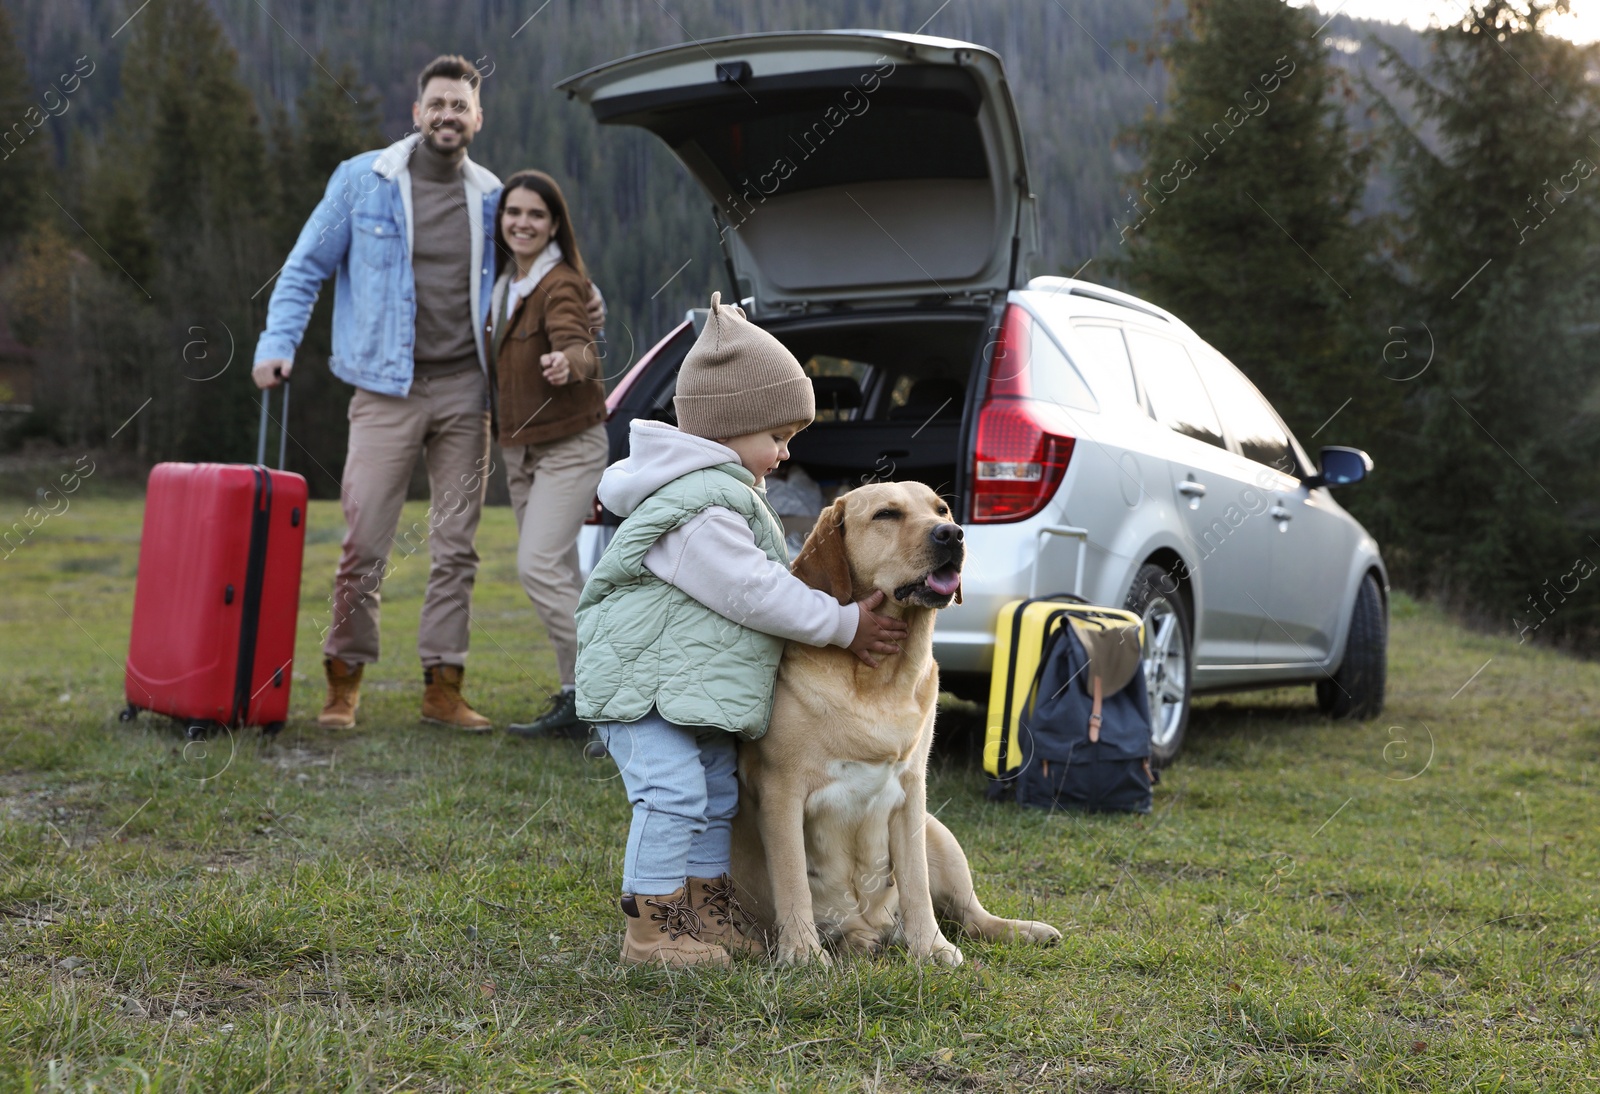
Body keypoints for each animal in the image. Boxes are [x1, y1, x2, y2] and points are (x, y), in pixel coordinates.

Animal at [729, 483, 1062, 959]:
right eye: (886, 514)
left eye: (942, 510)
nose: (953, 533)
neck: (879, 680)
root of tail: (873, 925)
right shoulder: (781, 791)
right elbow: (793, 881)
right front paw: (804, 953)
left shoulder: (911, 795)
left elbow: (915, 883)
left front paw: (932, 948)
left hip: (939, 833)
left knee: (972, 915)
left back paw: (1020, 930)